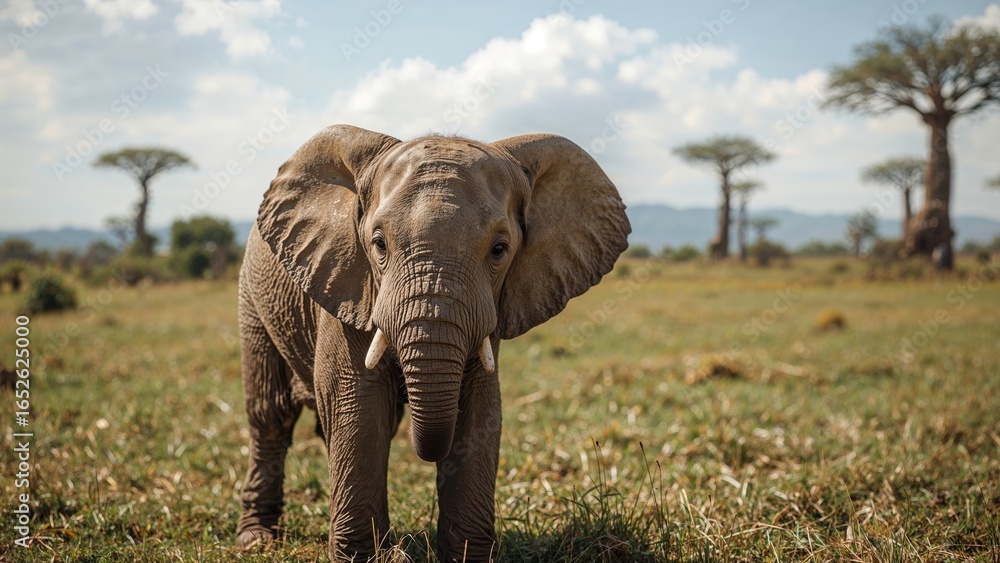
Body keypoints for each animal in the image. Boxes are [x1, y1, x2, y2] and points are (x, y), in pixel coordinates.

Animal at [236, 124, 630, 561]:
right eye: (379, 245)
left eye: (500, 249)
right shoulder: (350, 280)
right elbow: (357, 403)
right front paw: (362, 557)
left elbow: (480, 408)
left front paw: (467, 556)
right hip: (253, 297)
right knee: (270, 413)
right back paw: (256, 538)